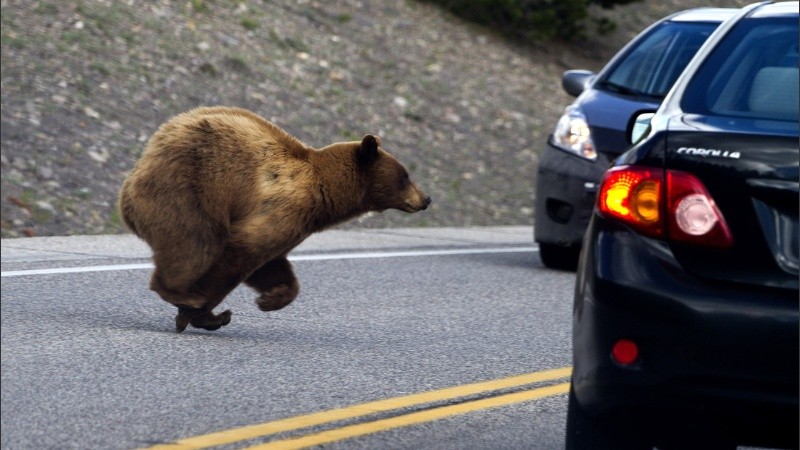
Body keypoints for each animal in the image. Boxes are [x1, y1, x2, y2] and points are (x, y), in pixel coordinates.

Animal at [119, 106, 431, 332]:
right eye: (405, 176)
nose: (426, 198)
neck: (325, 194)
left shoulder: (294, 223)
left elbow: (270, 263)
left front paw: (271, 299)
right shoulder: (285, 208)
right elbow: (242, 251)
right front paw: (205, 312)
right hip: (186, 191)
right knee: (196, 243)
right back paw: (180, 293)